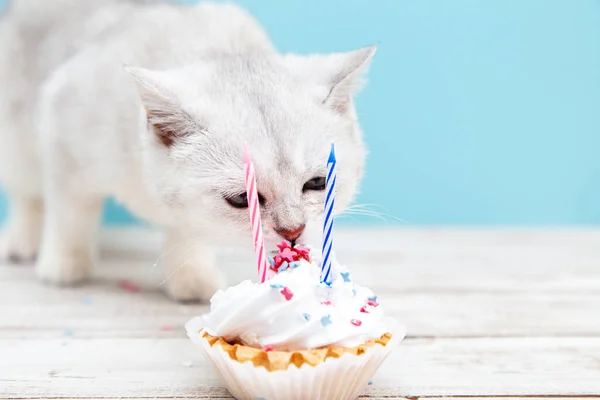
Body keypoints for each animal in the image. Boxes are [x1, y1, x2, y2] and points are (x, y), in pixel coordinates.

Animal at [0, 0, 372, 300]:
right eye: (243, 199)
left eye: (317, 183)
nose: (293, 232)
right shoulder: (62, 133)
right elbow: (71, 214)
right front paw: (65, 264)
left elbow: (189, 231)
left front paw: (191, 277)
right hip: (18, 144)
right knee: (28, 195)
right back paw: (23, 242)